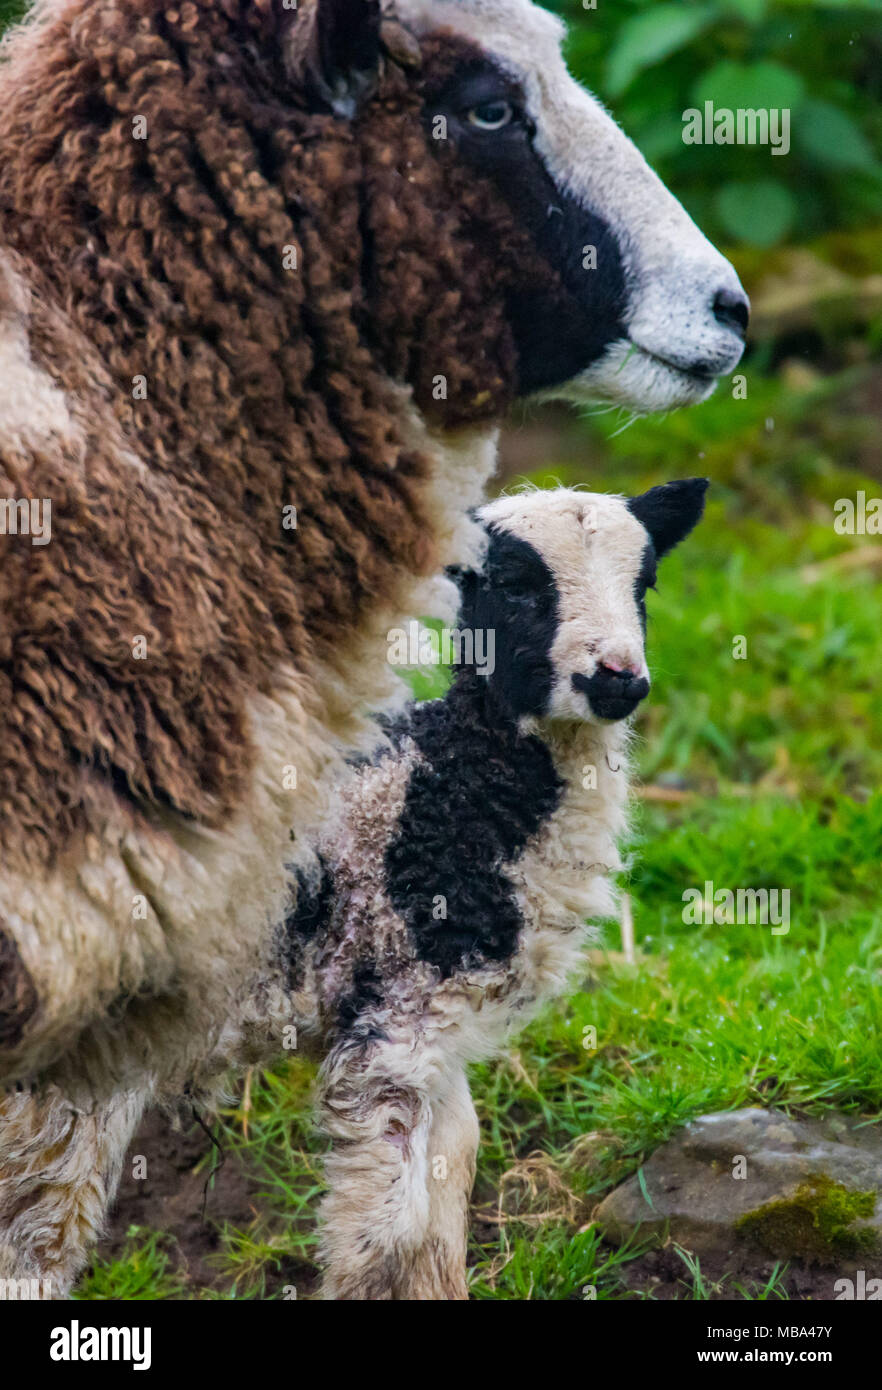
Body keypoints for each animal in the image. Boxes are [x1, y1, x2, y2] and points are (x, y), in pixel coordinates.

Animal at [283, 480, 711, 1301]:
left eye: (643, 585)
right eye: (513, 585)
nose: (618, 679)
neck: (449, 790)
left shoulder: (434, 1022)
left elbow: (447, 1188)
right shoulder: (391, 1016)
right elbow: (382, 1235)